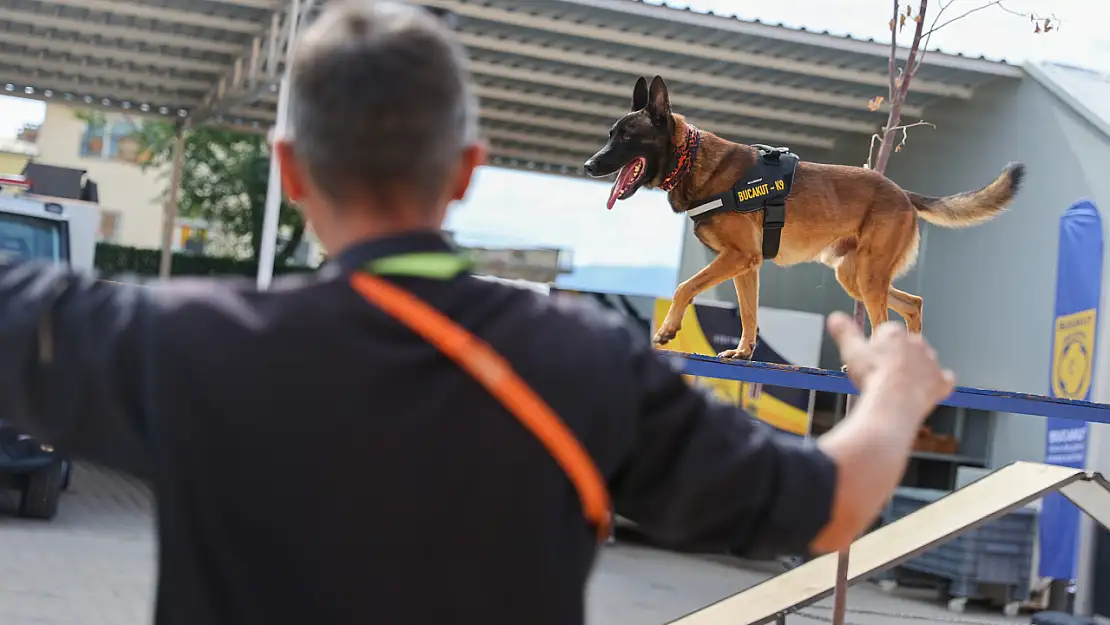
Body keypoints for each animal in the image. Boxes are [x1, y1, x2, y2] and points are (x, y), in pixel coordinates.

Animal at [586, 76, 1025, 359]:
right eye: (610, 134)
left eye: (627, 137)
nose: (590, 165)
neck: (691, 160)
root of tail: (903, 193)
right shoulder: (746, 264)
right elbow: (748, 313)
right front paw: (744, 351)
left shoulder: (737, 257)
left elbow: (684, 287)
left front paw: (667, 329)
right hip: (854, 276)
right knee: (912, 304)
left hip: (867, 279)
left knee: (885, 320)